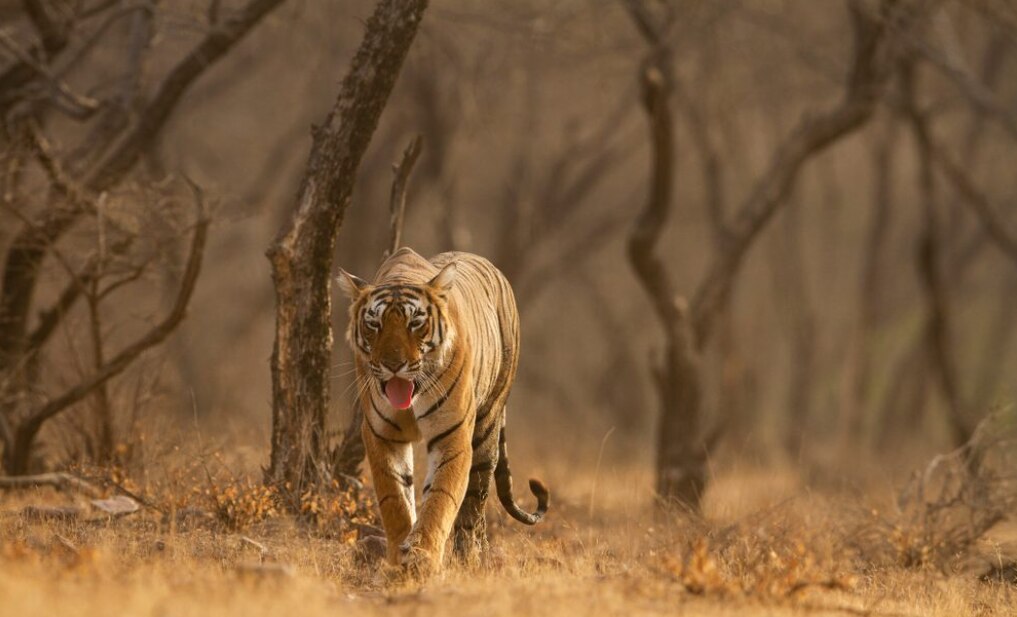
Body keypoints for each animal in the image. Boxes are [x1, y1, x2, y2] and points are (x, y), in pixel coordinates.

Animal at [337, 245, 549, 573]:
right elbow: (395, 499)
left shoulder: (452, 432)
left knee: (475, 501)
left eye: (415, 323)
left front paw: (422, 556)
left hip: (487, 424)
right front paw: (400, 557)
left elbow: (441, 497)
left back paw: (470, 558)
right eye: (374, 324)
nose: (393, 365)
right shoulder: (382, 434)